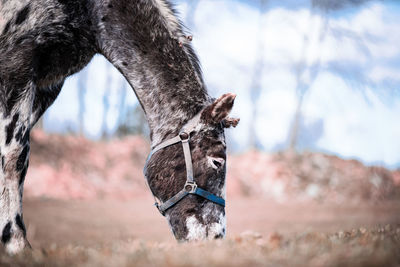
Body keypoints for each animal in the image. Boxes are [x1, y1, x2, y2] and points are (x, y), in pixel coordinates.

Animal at [0, 0, 238, 254]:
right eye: (217, 161)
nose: (215, 238)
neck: (90, 11)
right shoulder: (17, 65)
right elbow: (15, 157)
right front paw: (16, 243)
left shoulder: (49, 85)